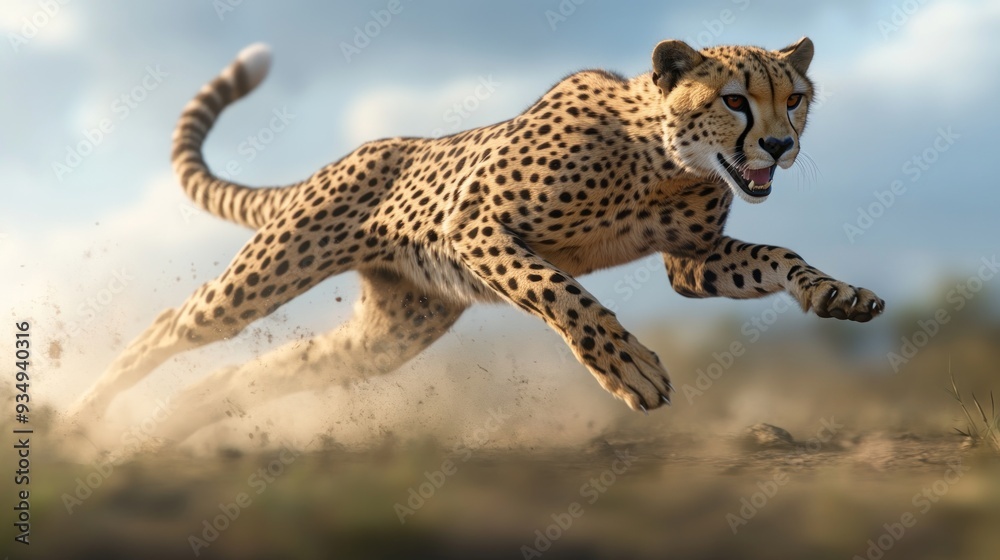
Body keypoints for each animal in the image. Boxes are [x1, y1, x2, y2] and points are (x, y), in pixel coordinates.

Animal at [67, 37, 884, 445]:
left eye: (796, 98)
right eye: (735, 100)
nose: (779, 145)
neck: (662, 159)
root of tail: (356, 152)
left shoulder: (693, 262)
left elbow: (777, 258)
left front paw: (837, 293)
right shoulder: (475, 226)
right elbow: (563, 293)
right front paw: (629, 369)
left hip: (391, 333)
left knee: (266, 372)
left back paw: (172, 424)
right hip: (274, 269)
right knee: (173, 325)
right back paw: (80, 419)